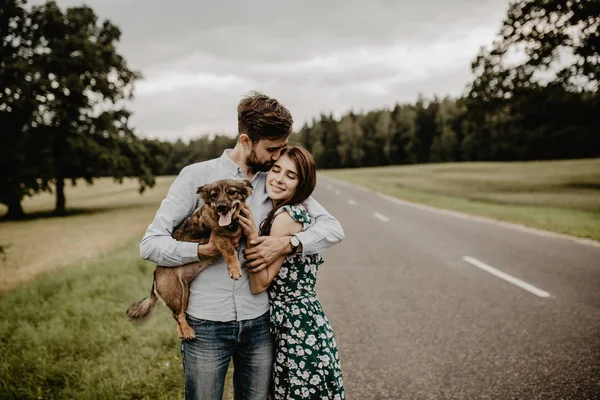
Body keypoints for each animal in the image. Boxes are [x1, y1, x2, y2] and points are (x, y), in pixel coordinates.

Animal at [126, 180, 253, 340]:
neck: (230, 223)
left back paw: (182, 332)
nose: (221, 207)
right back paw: (187, 331)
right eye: (214, 195)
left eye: (232, 192)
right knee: (177, 315)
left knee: (179, 314)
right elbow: (230, 251)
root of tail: (155, 275)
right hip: (175, 294)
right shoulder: (218, 236)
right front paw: (234, 269)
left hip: (184, 294)